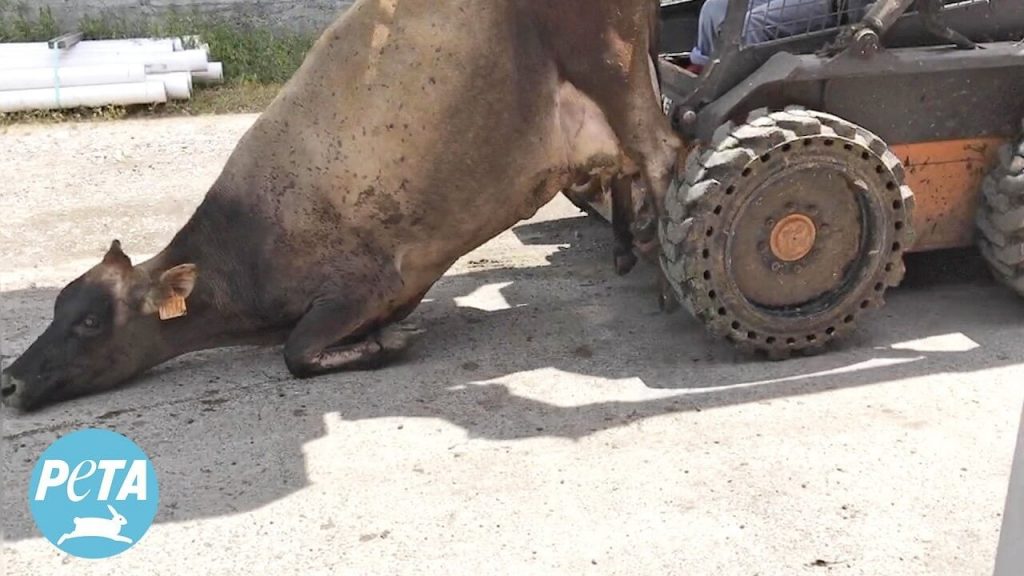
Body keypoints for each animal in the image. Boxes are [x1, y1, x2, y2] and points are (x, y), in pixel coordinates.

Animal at [6, 1, 688, 412]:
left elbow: (296, 354)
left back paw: (667, 282)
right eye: (60, 306)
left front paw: (391, 345)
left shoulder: (362, 285)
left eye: (91, 322)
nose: (9, 378)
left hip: (610, 61)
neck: (241, 257)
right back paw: (628, 250)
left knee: (663, 153)